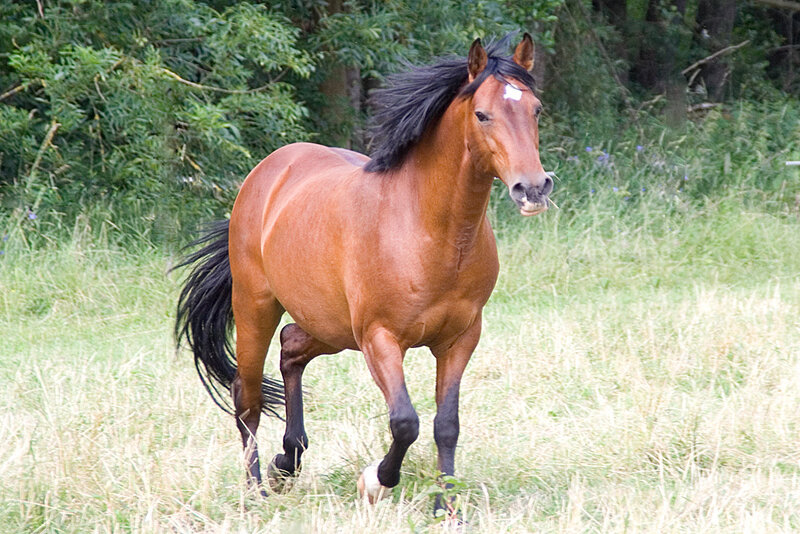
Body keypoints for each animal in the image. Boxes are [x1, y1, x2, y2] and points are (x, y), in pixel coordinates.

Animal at [174, 33, 553, 512]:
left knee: (291, 348)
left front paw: (445, 507)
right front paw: (375, 480)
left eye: (535, 109)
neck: (430, 230)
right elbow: (405, 422)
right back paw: (257, 488)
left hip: (331, 326)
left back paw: (287, 462)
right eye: (482, 114)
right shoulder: (380, 338)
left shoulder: (460, 338)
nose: (533, 188)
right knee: (248, 397)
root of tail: (266, 173)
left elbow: (446, 424)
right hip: (257, 307)